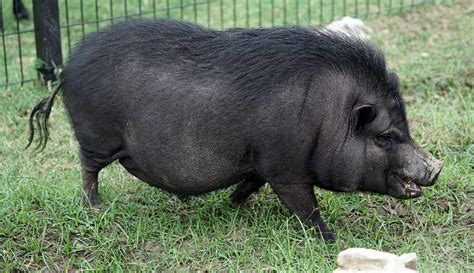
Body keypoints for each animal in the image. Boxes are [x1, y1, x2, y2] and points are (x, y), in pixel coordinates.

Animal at [27, 18, 444, 240]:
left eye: (405, 128)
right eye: (385, 137)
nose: (435, 166)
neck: (327, 116)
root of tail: (67, 70)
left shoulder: (259, 162)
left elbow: (251, 183)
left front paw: (232, 202)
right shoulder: (285, 168)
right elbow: (306, 206)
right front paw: (329, 239)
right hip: (95, 135)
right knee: (88, 169)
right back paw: (95, 208)